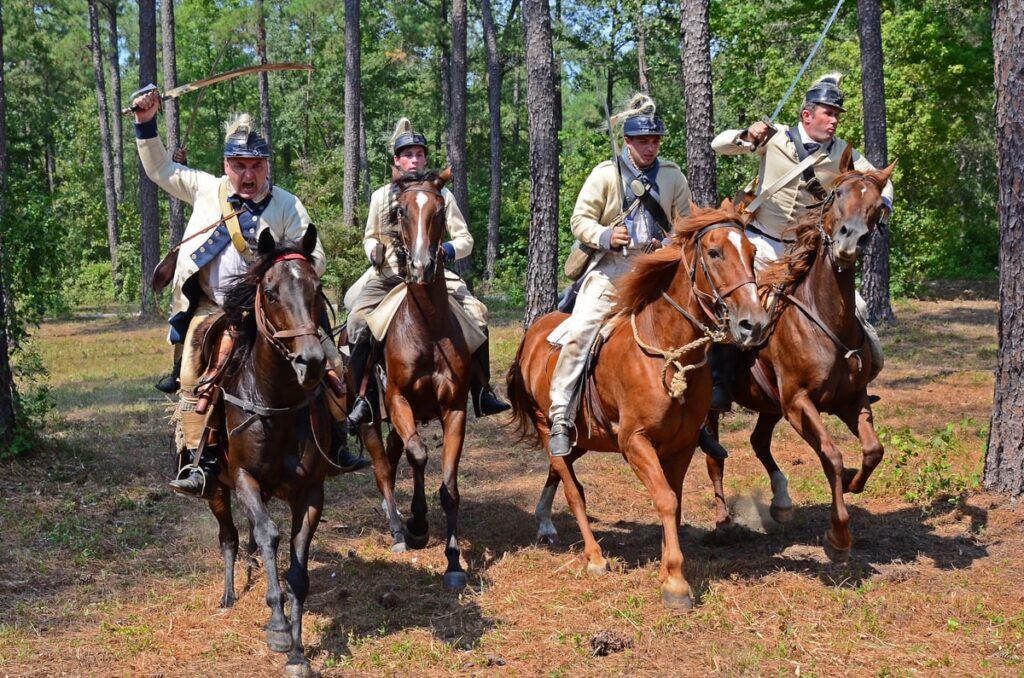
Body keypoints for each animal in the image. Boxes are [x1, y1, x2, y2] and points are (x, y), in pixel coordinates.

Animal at [192, 227, 331, 675]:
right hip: (216, 490)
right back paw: (229, 594)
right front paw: (278, 626)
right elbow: (268, 535)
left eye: (317, 288)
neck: (277, 404)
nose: (311, 362)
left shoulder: (311, 492)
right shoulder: (243, 480)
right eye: (270, 293)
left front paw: (299, 652)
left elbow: (298, 566)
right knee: (230, 538)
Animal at [354, 168, 473, 589]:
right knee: (383, 467)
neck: (427, 330)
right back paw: (397, 530)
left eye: (438, 211)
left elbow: (449, 487)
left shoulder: (455, 409)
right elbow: (418, 454)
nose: (421, 267)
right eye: (401, 211)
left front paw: (453, 562)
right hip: (371, 417)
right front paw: (418, 525)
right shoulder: (398, 401)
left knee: (394, 457)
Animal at [503, 201, 770, 610]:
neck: (667, 352)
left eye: (753, 253)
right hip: (551, 428)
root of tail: (531, 336)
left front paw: (667, 568)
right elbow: (665, 499)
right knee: (572, 487)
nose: (753, 324)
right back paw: (594, 556)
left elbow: (674, 500)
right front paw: (675, 582)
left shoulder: (682, 445)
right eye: (714, 252)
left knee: (557, 472)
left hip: (586, 437)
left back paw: (545, 522)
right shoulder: (635, 442)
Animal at [704, 144, 897, 561]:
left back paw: (781, 502)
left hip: (769, 405)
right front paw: (838, 535)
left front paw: (854, 483)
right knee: (714, 458)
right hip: (721, 408)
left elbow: (873, 450)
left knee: (759, 442)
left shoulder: (851, 400)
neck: (825, 318)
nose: (850, 241)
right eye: (838, 193)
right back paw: (724, 521)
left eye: (878, 204)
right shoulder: (799, 404)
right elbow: (832, 456)